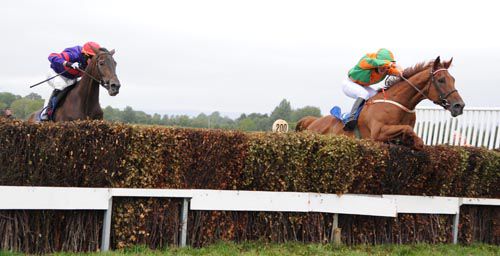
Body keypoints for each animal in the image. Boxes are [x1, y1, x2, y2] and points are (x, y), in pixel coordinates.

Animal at [296, 56, 464, 150]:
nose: (459, 106)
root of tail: (311, 121)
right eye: (441, 80)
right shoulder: (378, 132)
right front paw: (417, 142)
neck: (400, 104)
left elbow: (407, 132)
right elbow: (408, 130)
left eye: (453, 79)